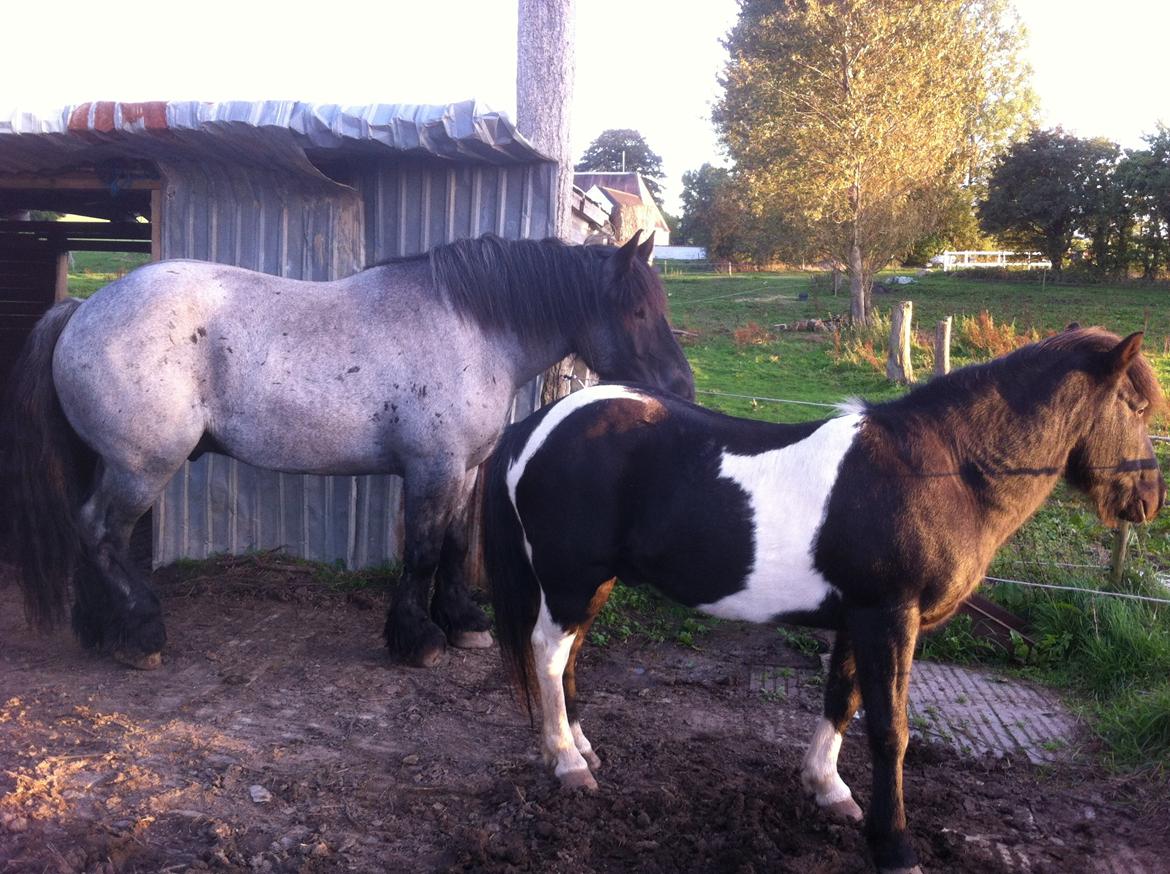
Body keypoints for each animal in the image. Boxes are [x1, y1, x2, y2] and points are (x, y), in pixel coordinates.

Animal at [0, 231, 694, 670]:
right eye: (635, 311)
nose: (680, 390)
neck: (471, 329)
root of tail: (83, 309)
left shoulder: (464, 470)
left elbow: (454, 545)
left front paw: (463, 623)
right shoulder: (432, 469)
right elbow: (421, 552)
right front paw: (418, 640)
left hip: (111, 464)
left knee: (89, 534)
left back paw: (98, 629)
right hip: (142, 468)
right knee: (102, 534)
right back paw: (140, 632)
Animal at [482, 327, 1165, 874]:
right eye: (1134, 405)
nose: (1149, 500)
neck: (945, 471)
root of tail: (533, 426)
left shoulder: (858, 618)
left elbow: (843, 699)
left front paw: (828, 790)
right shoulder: (889, 617)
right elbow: (890, 731)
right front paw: (895, 848)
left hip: (591, 583)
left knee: (568, 656)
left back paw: (580, 746)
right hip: (570, 579)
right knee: (548, 655)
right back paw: (566, 764)